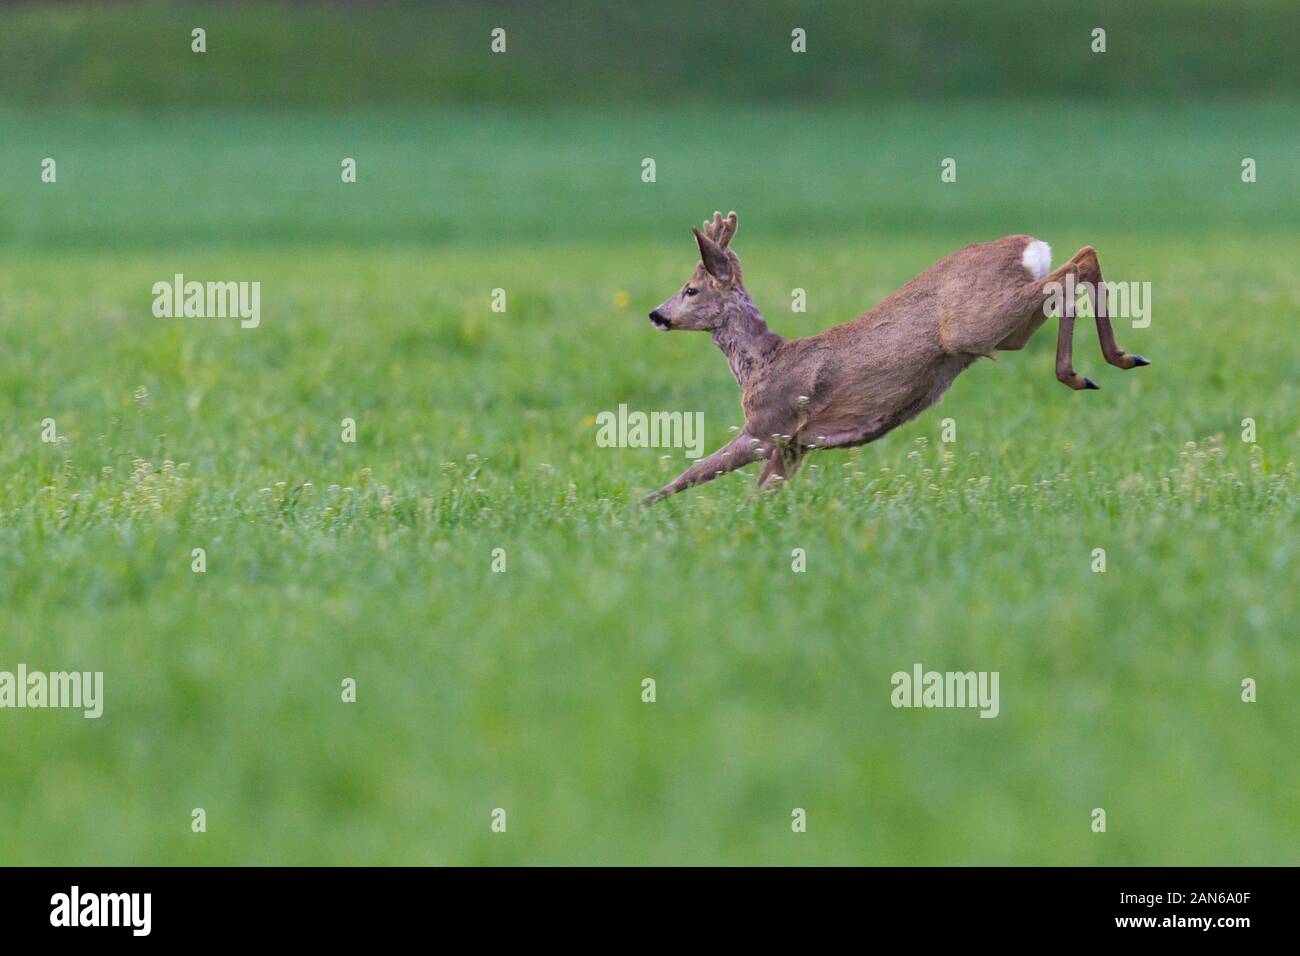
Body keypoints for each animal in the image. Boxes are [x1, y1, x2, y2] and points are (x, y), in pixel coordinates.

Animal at [639, 213, 1149, 504]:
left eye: (691, 289)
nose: (656, 314)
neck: (762, 362)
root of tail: (1030, 246)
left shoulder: (769, 426)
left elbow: (693, 473)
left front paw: (640, 508)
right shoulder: (795, 446)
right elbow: (760, 493)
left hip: (974, 323)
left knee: (1075, 265)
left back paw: (1085, 370)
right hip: (1005, 336)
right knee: (1078, 263)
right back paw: (1117, 360)